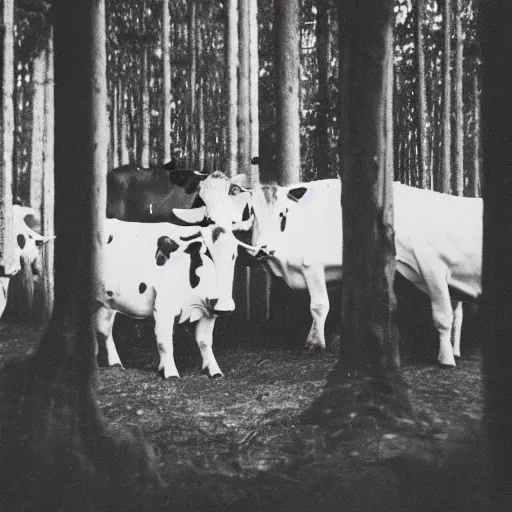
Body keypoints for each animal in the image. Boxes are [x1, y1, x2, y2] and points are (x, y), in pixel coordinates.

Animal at [94, 214, 258, 378]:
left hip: (107, 302)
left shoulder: (210, 310)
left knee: (104, 329)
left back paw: (115, 364)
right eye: (207, 253)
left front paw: (214, 370)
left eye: (233, 255)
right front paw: (170, 372)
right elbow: (165, 343)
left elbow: (204, 341)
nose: (225, 305)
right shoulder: (163, 308)